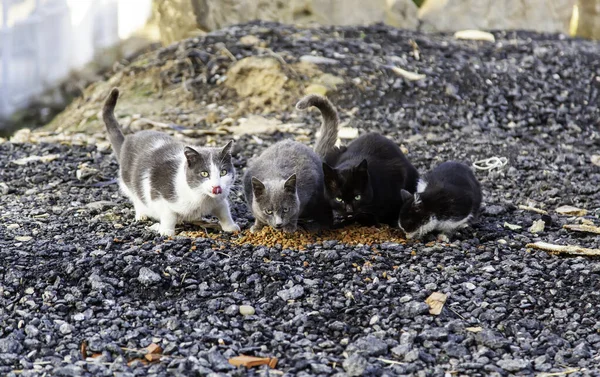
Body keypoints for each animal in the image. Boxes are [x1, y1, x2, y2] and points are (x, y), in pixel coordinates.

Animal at [101, 88, 239, 235]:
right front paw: (166, 231)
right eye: (204, 173)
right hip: (128, 179)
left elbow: (224, 210)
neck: (202, 198)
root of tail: (128, 140)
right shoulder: (159, 193)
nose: (216, 187)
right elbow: (168, 214)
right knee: (136, 197)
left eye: (223, 172)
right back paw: (142, 214)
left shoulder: (219, 199)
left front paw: (231, 226)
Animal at [243, 92, 340, 231]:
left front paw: (290, 228)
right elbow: (256, 213)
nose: (278, 224)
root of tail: (314, 153)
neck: (274, 175)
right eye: (268, 211)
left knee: (325, 209)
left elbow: (296, 210)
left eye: (285, 209)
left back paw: (323, 225)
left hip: (320, 193)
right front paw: (257, 227)